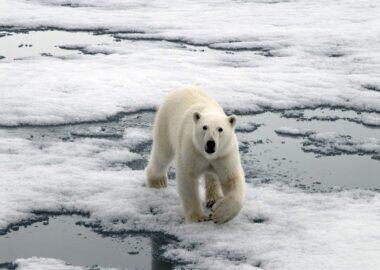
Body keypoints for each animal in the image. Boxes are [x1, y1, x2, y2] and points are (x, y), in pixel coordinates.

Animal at [145, 87, 246, 224]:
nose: (210, 143)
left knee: (212, 175)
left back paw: (213, 198)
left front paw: (219, 213)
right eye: (204, 127)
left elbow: (231, 179)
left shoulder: (224, 154)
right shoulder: (191, 150)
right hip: (165, 122)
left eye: (220, 129)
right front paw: (198, 217)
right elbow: (188, 180)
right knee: (162, 154)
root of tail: (183, 88)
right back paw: (158, 181)